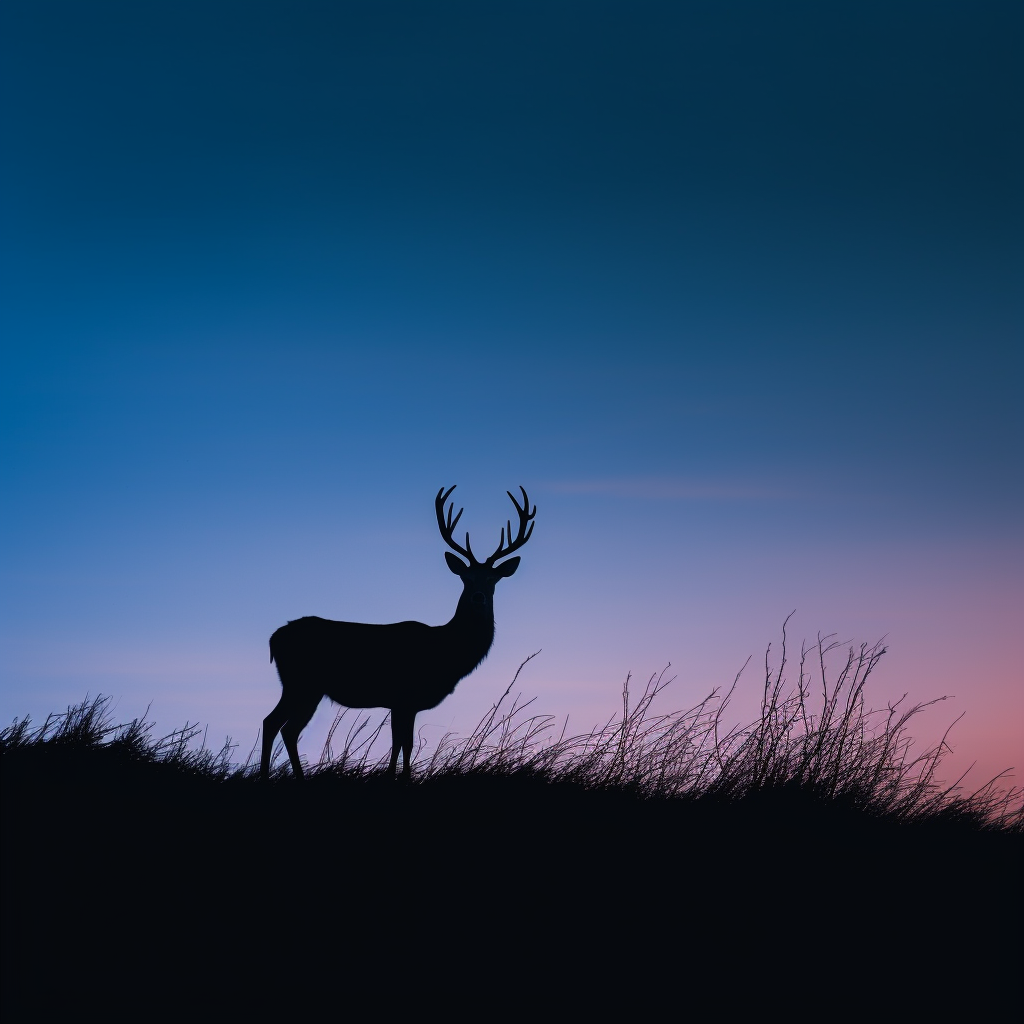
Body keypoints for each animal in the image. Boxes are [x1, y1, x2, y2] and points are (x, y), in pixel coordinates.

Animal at [260, 483, 536, 778]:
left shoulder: (405, 703)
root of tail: (274, 638)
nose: (478, 597)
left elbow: (404, 743)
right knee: (273, 722)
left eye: (493, 579)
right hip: (299, 682)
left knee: (287, 729)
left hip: (307, 688)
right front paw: (397, 777)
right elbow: (402, 743)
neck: (447, 652)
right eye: (466, 577)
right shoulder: (404, 696)